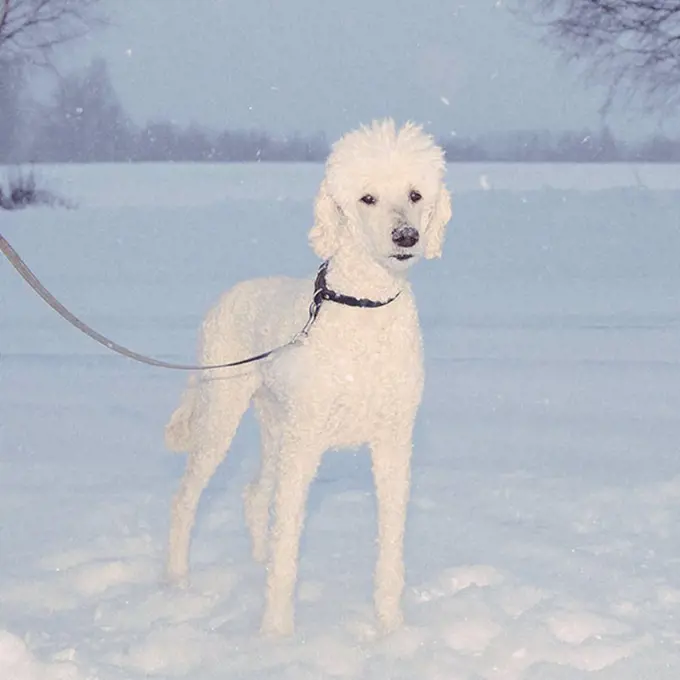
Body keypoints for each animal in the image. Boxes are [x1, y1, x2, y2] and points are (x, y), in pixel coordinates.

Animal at [164, 118, 452, 636]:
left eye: (416, 194)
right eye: (367, 198)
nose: (406, 236)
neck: (364, 308)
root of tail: (228, 296)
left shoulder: (393, 439)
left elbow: (390, 544)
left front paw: (390, 627)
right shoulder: (306, 444)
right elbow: (288, 545)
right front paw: (276, 634)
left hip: (276, 426)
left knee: (255, 495)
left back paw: (254, 562)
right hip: (223, 415)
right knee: (187, 500)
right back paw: (178, 581)